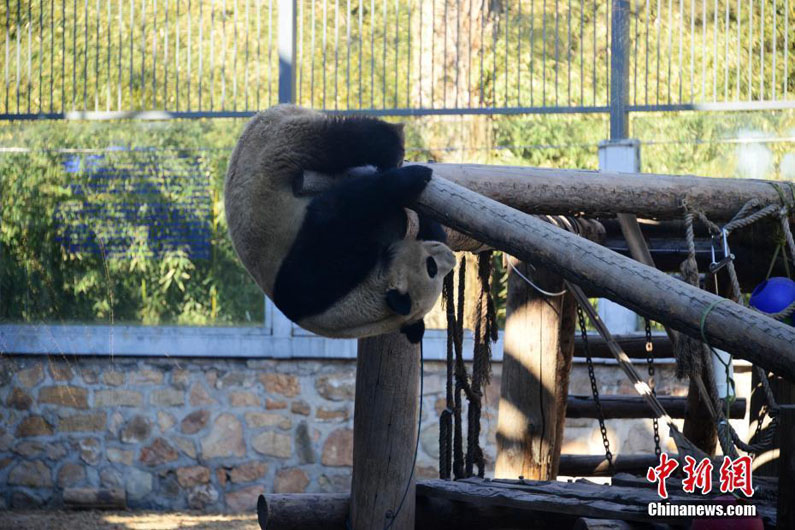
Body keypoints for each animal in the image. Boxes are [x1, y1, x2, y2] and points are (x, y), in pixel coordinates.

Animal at [224, 104, 454, 342]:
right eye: (431, 267)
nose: (451, 257)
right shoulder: (315, 282)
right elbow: (338, 211)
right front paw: (410, 181)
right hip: (279, 147)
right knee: (342, 138)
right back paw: (396, 147)